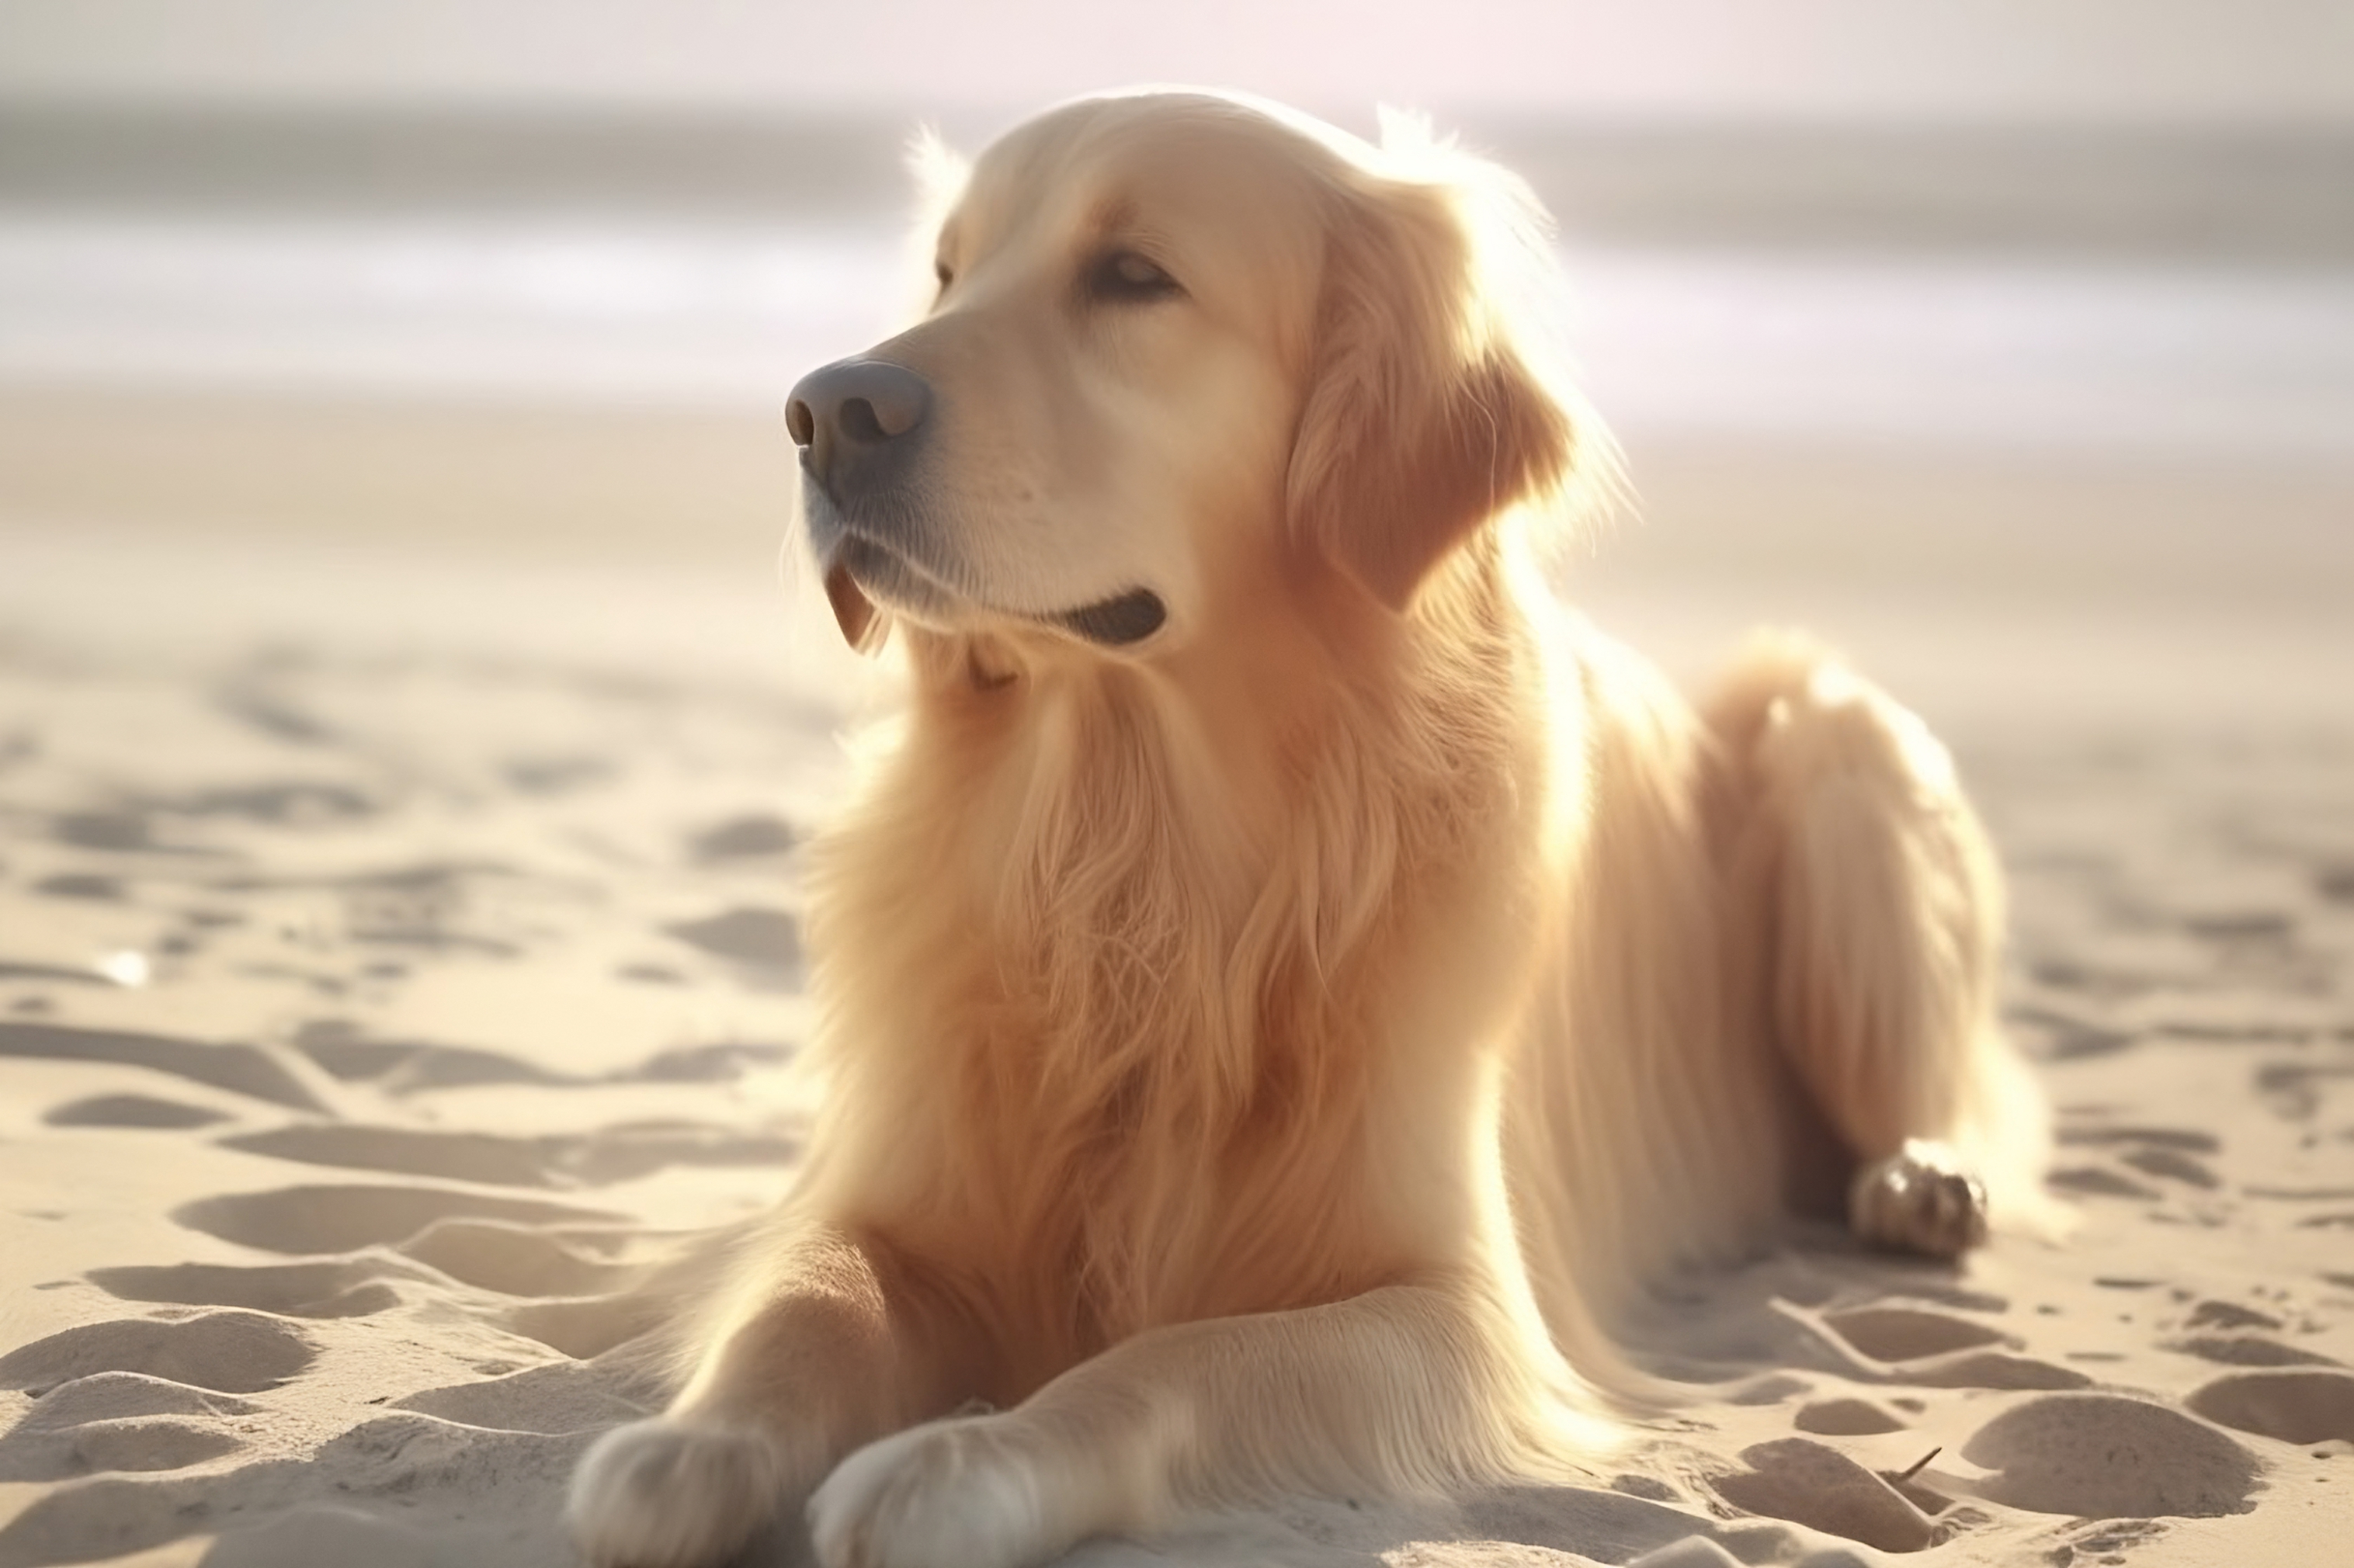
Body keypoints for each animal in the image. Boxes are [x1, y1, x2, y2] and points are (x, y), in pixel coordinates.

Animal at [560, 88, 2052, 1563]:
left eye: (1134, 276)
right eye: (945, 271)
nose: (823, 412)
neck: (1139, 844)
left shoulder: (1456, 1310)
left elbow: (1165, 1365)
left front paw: (963, 1461)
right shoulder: (891, 1196)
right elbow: (807, 1303)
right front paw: (691, 1450)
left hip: (1840, 745)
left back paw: (1922, 1181)